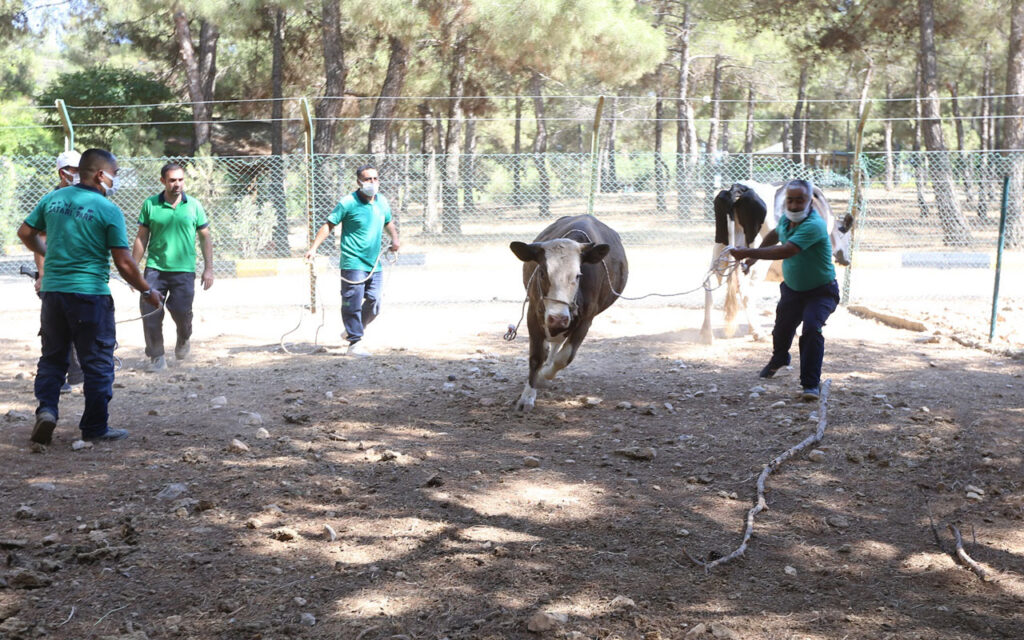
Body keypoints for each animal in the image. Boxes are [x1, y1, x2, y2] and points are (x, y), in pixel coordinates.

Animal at [509, 215, 626, 411]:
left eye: (578, 275)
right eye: (542, 272)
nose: (558, 318)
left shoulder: (586, 320)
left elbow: (565, 357)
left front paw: (544, 374)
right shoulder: (533, 313)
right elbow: (536, 357)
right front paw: (527, 397)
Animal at [696, 180, 856, 344]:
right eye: (848, 237)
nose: (847, 260)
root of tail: (739, 187)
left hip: (720, 247)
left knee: (710, 282)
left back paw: (706, 334)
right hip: (757, 259)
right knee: (746, 290)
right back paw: (758, 332)